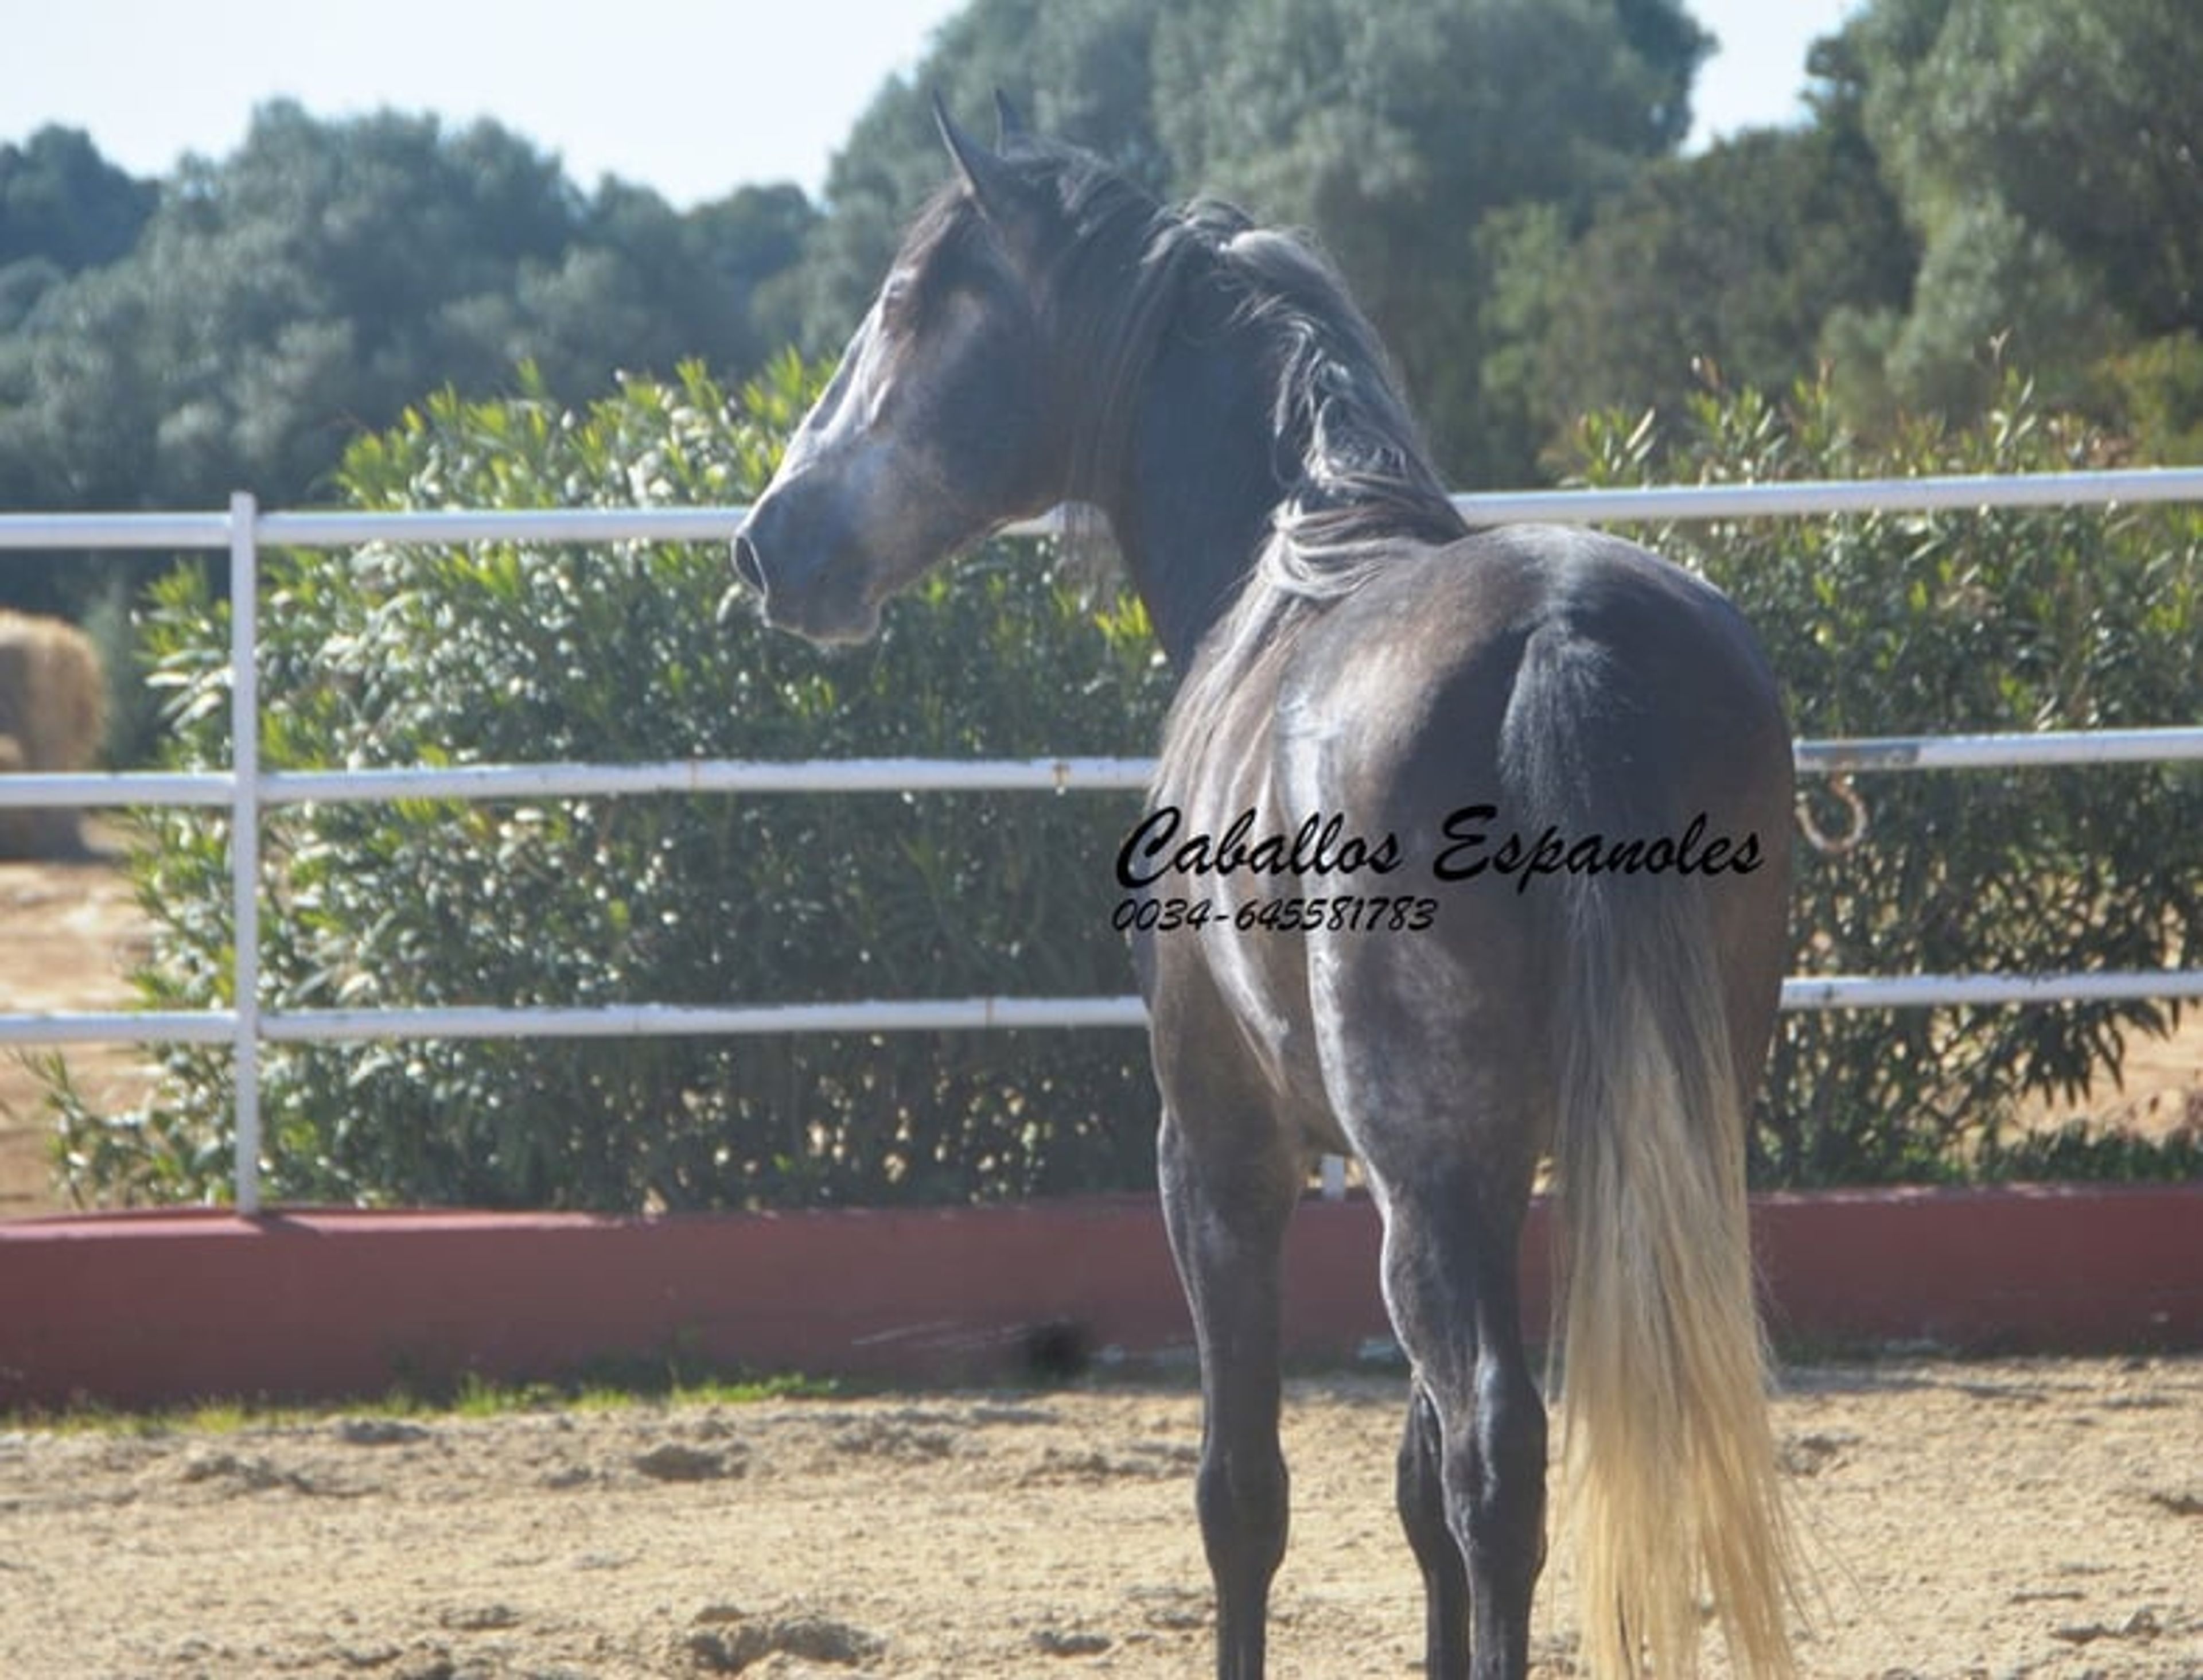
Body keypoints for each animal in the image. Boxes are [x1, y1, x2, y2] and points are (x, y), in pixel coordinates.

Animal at [732, 98, 1801, 1680]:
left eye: (907, 302)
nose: (770, 544)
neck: (1294, 563)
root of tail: (1563, 633)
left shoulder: (1221, 1154)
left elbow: (1242, 1492)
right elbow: (1410, 1491)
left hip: (1434, 1172)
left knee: (1497, 1457)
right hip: (1646, 1139)